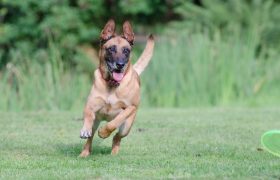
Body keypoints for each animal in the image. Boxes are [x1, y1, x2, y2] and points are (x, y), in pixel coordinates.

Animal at [79, 19, 155, 157]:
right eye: (111, 49)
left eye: (126, 50)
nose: (120, 65)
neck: (112, 85)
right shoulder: (91, 105)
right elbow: (88, 115)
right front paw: (85, 130)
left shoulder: (130, 108)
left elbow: (115, 121)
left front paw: (103, 132)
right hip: (96, 121)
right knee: (90, 138)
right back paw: (84, 153)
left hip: (126, 127)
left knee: (117, 137)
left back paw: (114, 152)